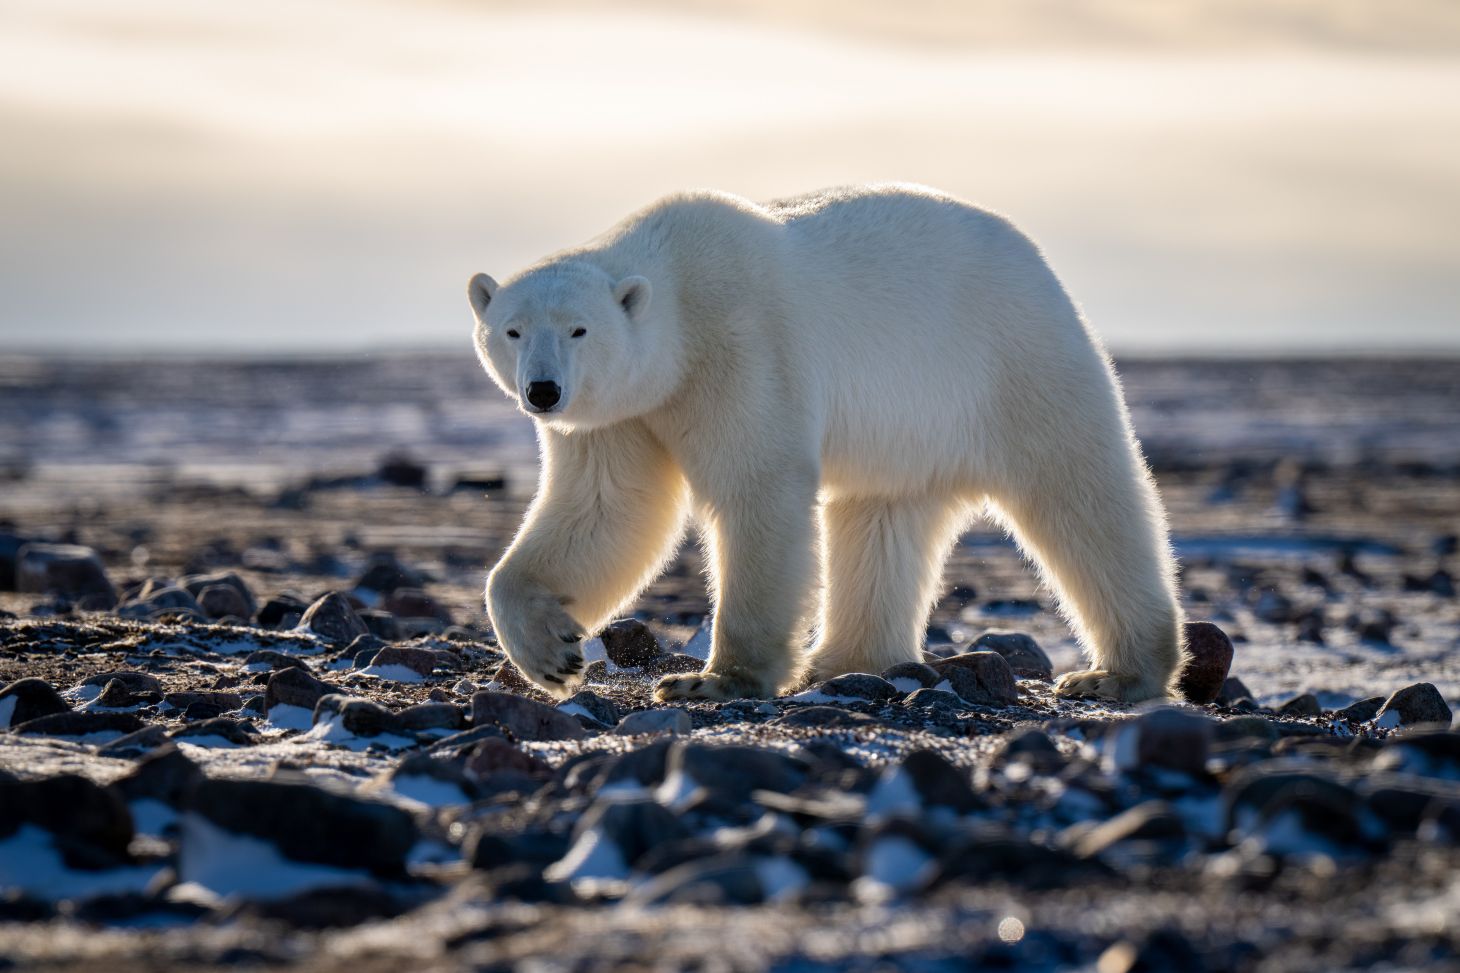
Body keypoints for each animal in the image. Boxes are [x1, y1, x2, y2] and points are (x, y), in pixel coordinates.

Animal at [467, 184, 1186, 703]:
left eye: (579, 329)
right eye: (512, 329)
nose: (544, 391)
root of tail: (1038, 262)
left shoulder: (740, 348)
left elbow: (758, 489)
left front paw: (713, 680)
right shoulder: (623, 415)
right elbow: (607, 509)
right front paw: (552, 653)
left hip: (1012, 359)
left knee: (1079, 494)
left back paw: (1118, 673)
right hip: (907, 432)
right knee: (881, 520)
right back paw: (842, 659)